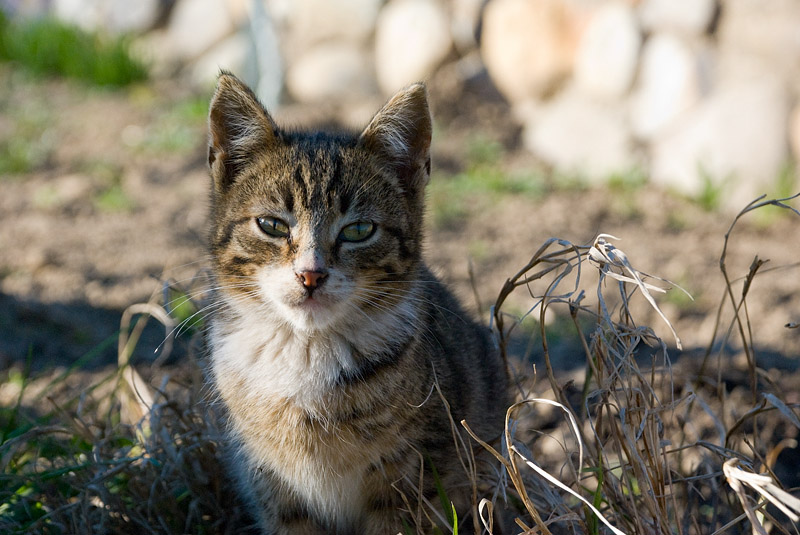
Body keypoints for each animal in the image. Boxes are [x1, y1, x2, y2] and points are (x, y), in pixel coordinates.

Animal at [203, 72, 510, 535]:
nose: (311, 274)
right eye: (271, 225)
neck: (307, 352)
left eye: (359, 230)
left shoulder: (413, 481)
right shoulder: (274, 488)